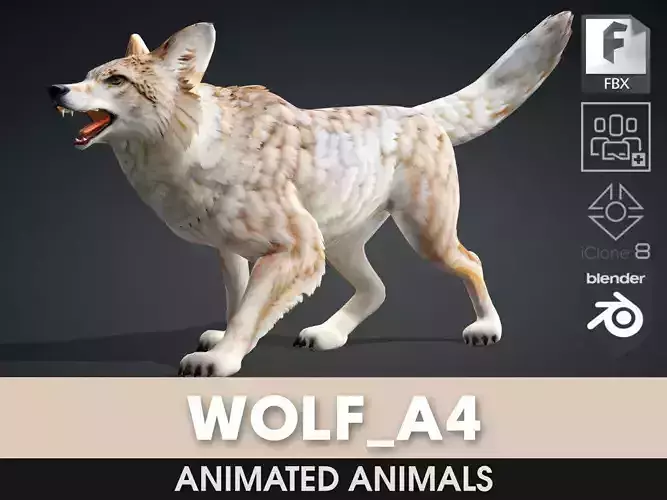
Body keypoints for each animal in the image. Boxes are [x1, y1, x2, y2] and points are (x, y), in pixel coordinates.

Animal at [48, 12, 573, 377]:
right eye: (87, 75)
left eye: (116, 80)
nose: (55, 88)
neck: (192, 146)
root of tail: (418, 113)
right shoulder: (234, 251)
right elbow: (239, 303)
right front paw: (227, 341)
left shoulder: (294, 248)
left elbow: (250, 312)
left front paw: (222, 360)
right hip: (338, 244)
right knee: (378, 289)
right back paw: (329, 333)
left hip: (424, 237)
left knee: (471, 261)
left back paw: (488, 328)